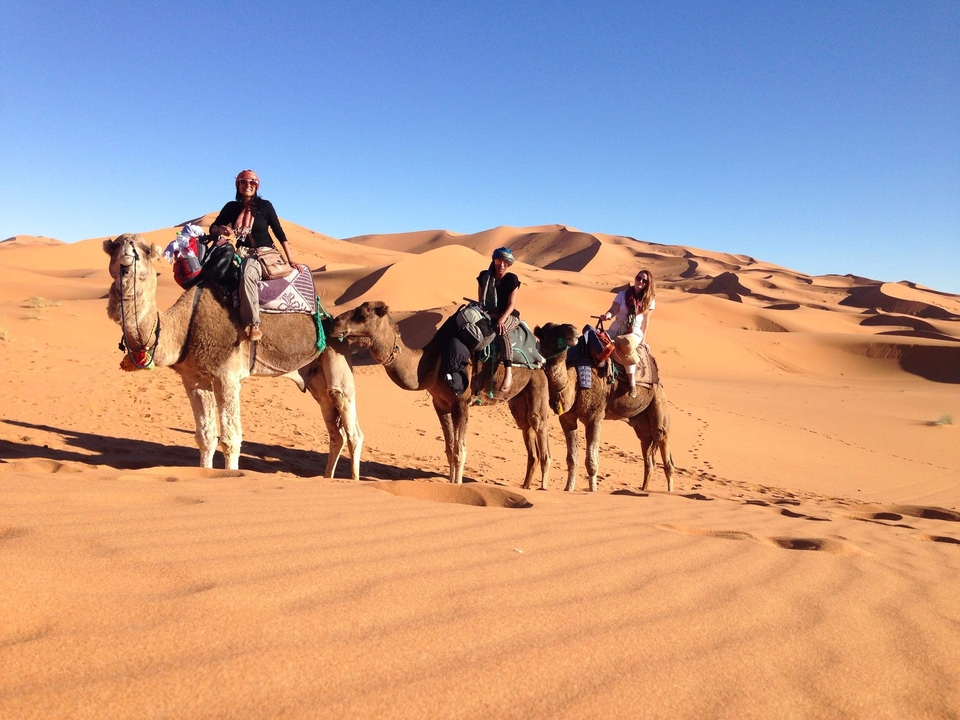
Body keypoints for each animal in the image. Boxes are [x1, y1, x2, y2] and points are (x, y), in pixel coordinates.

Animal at [103, 233, 363, 476]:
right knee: (335, 430)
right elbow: (206, 437)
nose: (127, 253)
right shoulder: (193, 378)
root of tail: (329, 319)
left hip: (337, 356)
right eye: (115, 246)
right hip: (314, 378)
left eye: (145, 250)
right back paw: (328, 478)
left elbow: (230, 439)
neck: (183, 326)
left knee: (352, 427)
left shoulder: (226, 375)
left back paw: (352, 479)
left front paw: (231, 475)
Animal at [332, 301, 573, 488]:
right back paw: (524, 487)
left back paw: (541, 489)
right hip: (516, 400)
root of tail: (539, 353)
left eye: (363, 314)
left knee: (540, 432)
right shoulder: (440, 403)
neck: (431, 363)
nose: (335, 323)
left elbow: (460, 450)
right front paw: (450, 484)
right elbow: (449, 450)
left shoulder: (461, 402)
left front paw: (457, 486)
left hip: (538, 382)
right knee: (526, 431)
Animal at [534, 323, 674, 492]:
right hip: (641, 425)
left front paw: (593, 490)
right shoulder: (567, 418)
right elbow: (572, 459)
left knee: (664, 448)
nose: (573, 331)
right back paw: (643, 489)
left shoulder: (595, 417)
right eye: (550, 332)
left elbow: (591, 461)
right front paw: (568, 489)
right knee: (648, 457)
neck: (574, 381)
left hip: (659, 404)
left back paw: (668, 491)